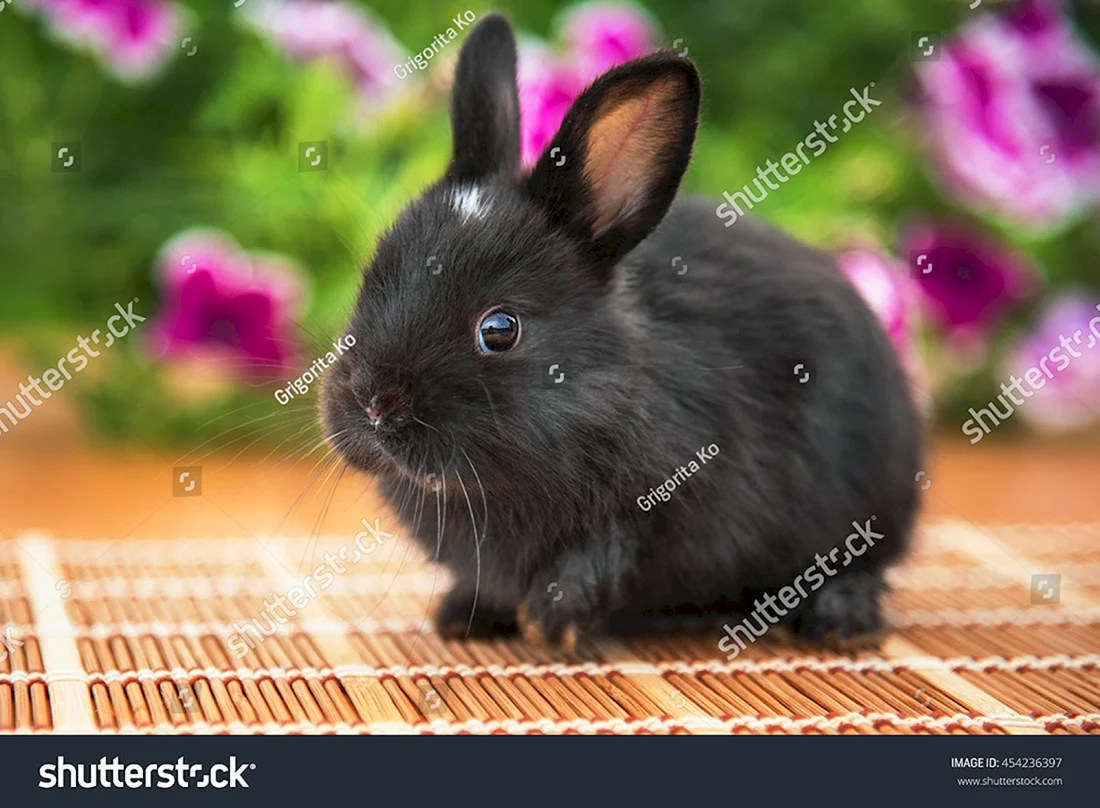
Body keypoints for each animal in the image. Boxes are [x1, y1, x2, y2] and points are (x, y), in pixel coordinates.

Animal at [319, 13, 924, 652]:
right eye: (370, 281)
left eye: (499, 329)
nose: (375, 404)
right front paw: (464, 616)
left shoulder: (668, 502)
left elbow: (602, 557)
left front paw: (552, 624)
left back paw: (839, 622)